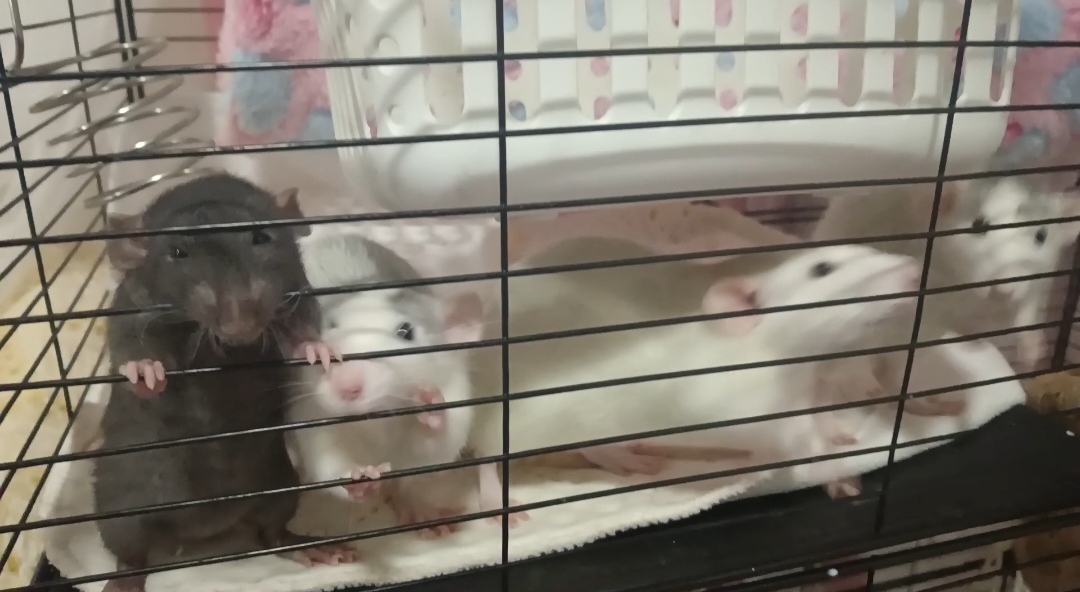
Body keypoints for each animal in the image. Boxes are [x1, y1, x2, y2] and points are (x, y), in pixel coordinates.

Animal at [94, 174, 356, 592]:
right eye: (178, 252)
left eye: (261, 238)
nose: (239, 322)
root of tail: (204, 530)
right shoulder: (134, 305)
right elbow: (127, 340)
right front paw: (144, 370)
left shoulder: (295, 289)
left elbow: (302, 319)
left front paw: (314, 347)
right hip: (120, 504)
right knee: (129, 553)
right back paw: (124, 581)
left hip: (278, 484)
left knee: (272, 534)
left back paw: (309, 548)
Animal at [288, 233, 484, 538]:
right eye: (329, 326)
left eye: (406, 332)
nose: (346, 385)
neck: (377, 419)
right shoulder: (312, 414)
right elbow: (326, 457)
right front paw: (357, 479)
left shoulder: (455, 393)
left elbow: (434, 451)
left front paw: (432, 411)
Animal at [468, 245, 923, 523]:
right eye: (823, 269)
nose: (914, 269)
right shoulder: (747, 402)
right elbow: (796, 442)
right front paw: (836, 471)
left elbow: (821, 416)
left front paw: (836, 431)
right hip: (512, 419)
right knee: (487, 456)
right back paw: (495, 498)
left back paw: (621, 456)